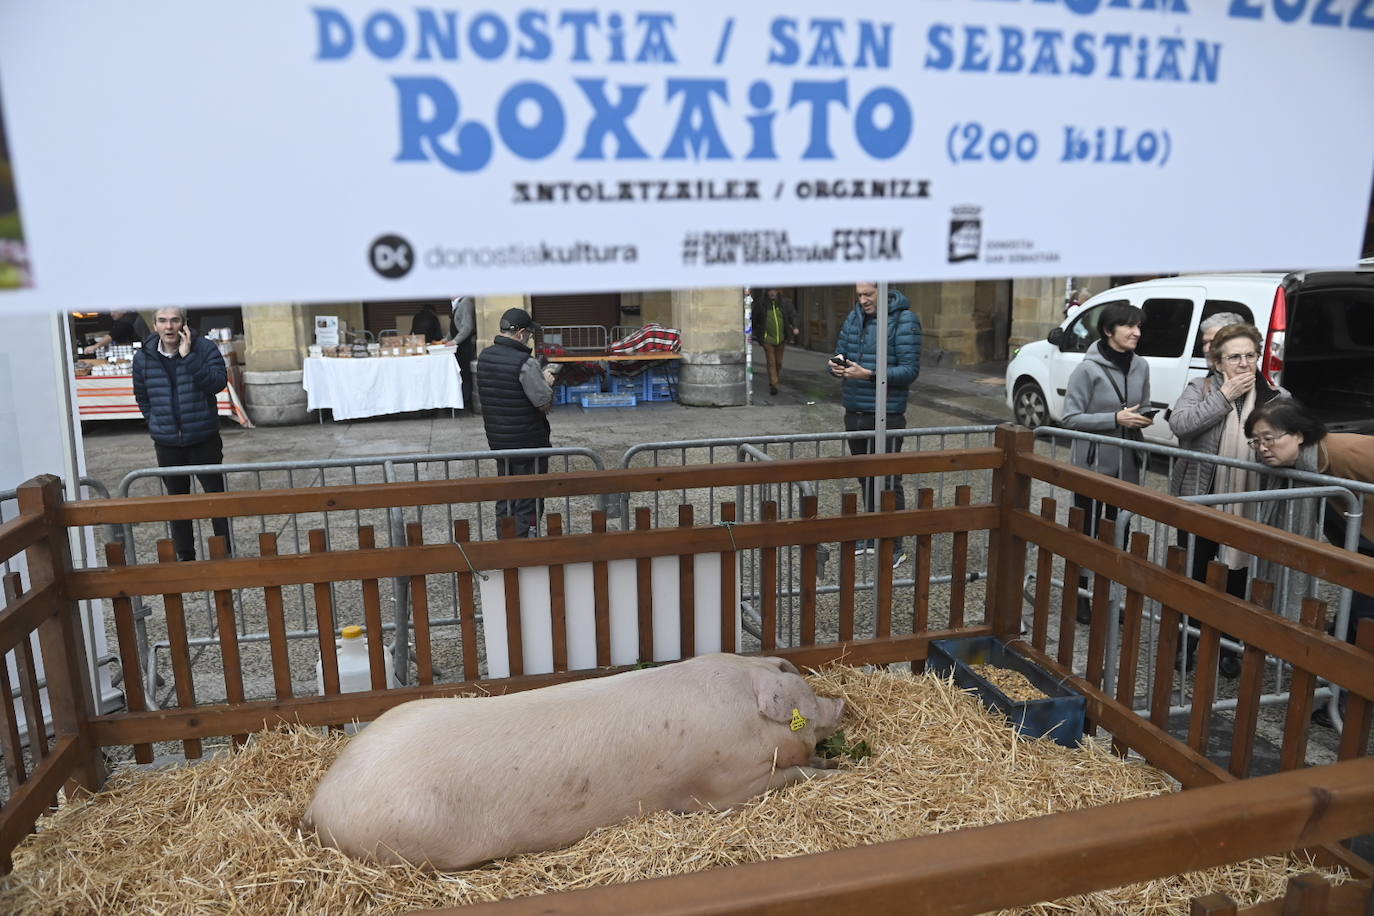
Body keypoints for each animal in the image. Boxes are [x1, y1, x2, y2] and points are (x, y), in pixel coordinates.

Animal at [303, 656, 846, 873]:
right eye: (797, 686)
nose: (841, 703)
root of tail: (320, 800)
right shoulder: (719, 791)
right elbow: (787, 777)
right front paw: (832, 769)